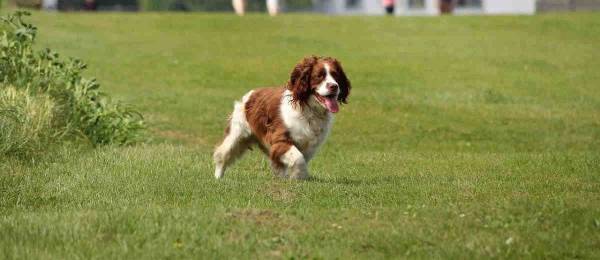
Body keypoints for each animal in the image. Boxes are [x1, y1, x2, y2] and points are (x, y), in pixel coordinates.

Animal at [212, 55, 350, 180]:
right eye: (319, 76)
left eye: (336, 75)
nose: (334, 86)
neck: (308, 110)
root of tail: (251, 94)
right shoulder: (280, 141)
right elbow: (298, 159)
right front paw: (298, 178)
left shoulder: (309, 146)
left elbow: (297, 160)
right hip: (237, 135)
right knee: (222, 155)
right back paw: (218, 177)